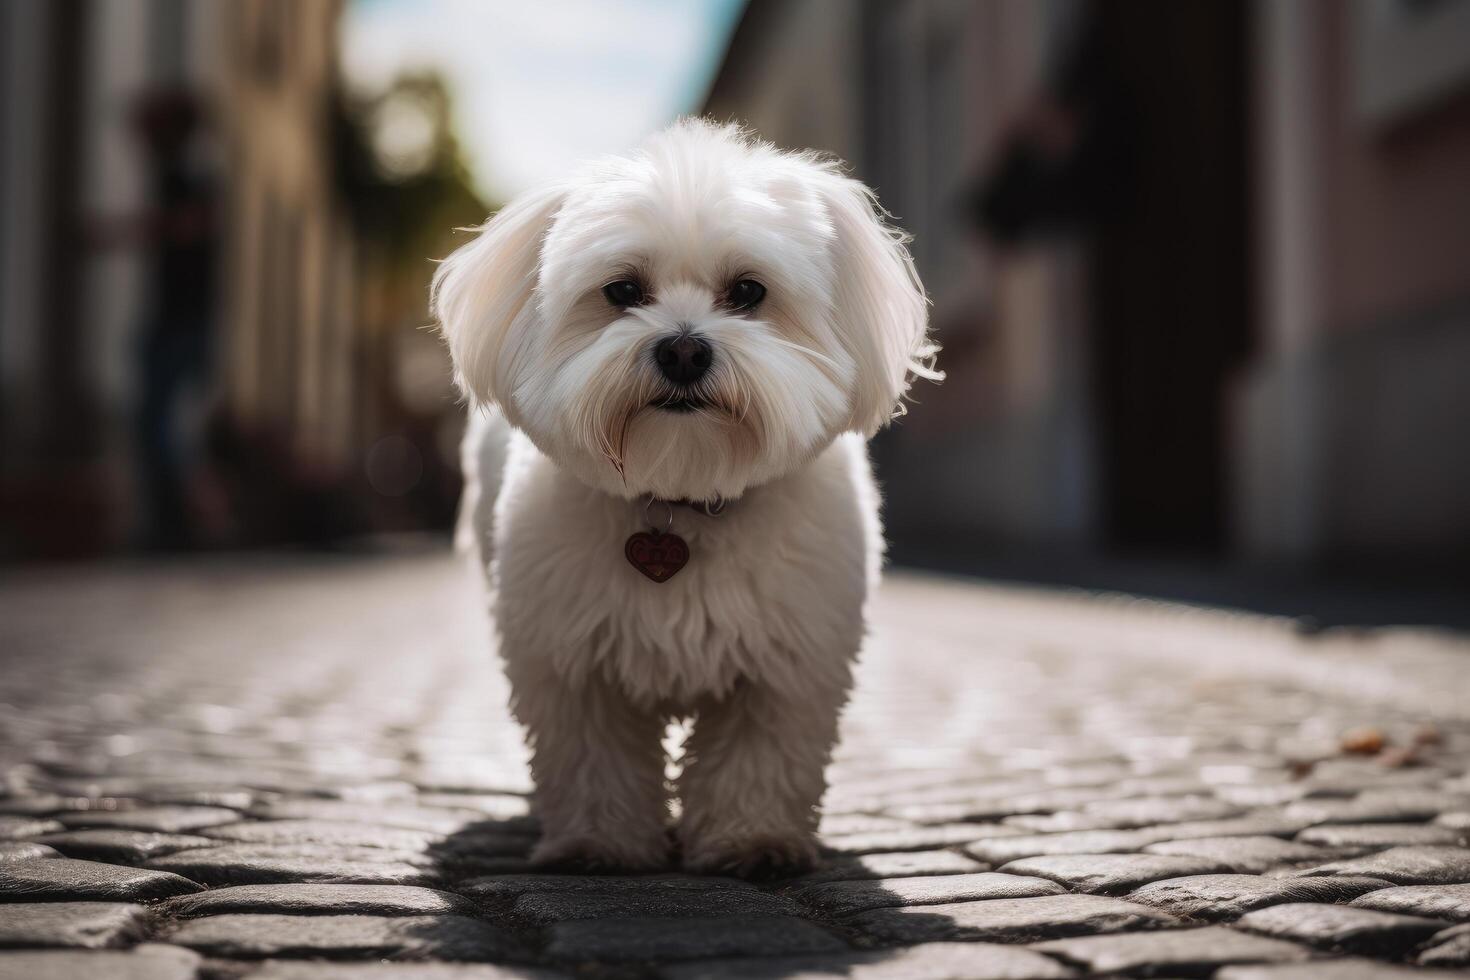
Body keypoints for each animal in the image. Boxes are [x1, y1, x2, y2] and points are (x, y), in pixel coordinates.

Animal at [429, 119, 934, 875]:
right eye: (622, 290)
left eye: (748, 291)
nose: (684, 351)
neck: (681, 496)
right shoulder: (574, 663)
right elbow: (593, 762)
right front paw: (599, 844)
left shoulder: (787, 667)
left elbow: (758, 760)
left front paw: (753, 841)